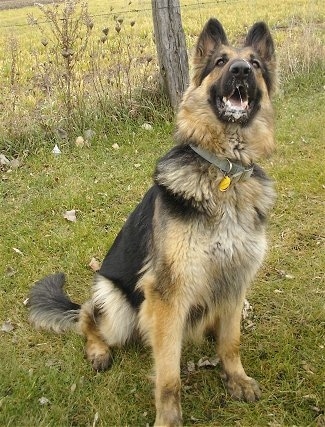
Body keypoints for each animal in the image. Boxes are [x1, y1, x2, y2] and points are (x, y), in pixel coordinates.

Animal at [28, 18, 276, 427]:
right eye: (221, 61)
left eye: (255, 64)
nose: (241, 71)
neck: (224, 171)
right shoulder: (166, 297)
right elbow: (169, 374)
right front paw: (168, 418)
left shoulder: (235, 281)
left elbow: (232, 341)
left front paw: (236, 378)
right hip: (117, 306)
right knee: (86, 318)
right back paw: (98, 350)